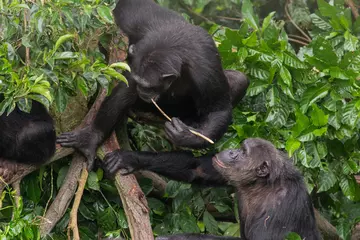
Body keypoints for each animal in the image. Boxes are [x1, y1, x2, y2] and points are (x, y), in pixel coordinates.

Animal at [57, 0, 250, 169]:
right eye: (141, 83)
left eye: (149, 86)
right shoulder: (139, 40)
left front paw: (187, 137)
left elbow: (218, 108)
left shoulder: (205, 67)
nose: (142, 90)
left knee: (239, 80)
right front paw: (92, 137)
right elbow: (125, 87)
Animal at [102, 138, 320, 239]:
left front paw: (175, 238)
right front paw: (128, 158)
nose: (231, 151)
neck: (259, 185)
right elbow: (197, 168)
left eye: (243, 152)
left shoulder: (282, 207)